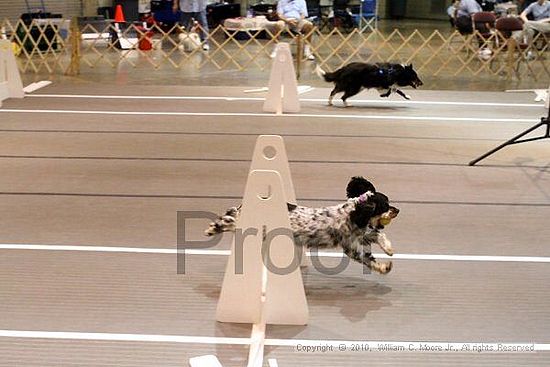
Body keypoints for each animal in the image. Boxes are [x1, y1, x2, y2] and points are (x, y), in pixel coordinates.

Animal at [207, 177, 402, 274]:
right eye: (385, 205)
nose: (397, 210)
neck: (354, 213)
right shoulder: (350, 246)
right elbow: (368, 259)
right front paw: (384, 268)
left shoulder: (360, 234)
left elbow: (378, 234)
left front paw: (389, 248)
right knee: (230, 219)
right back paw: (212, 228)